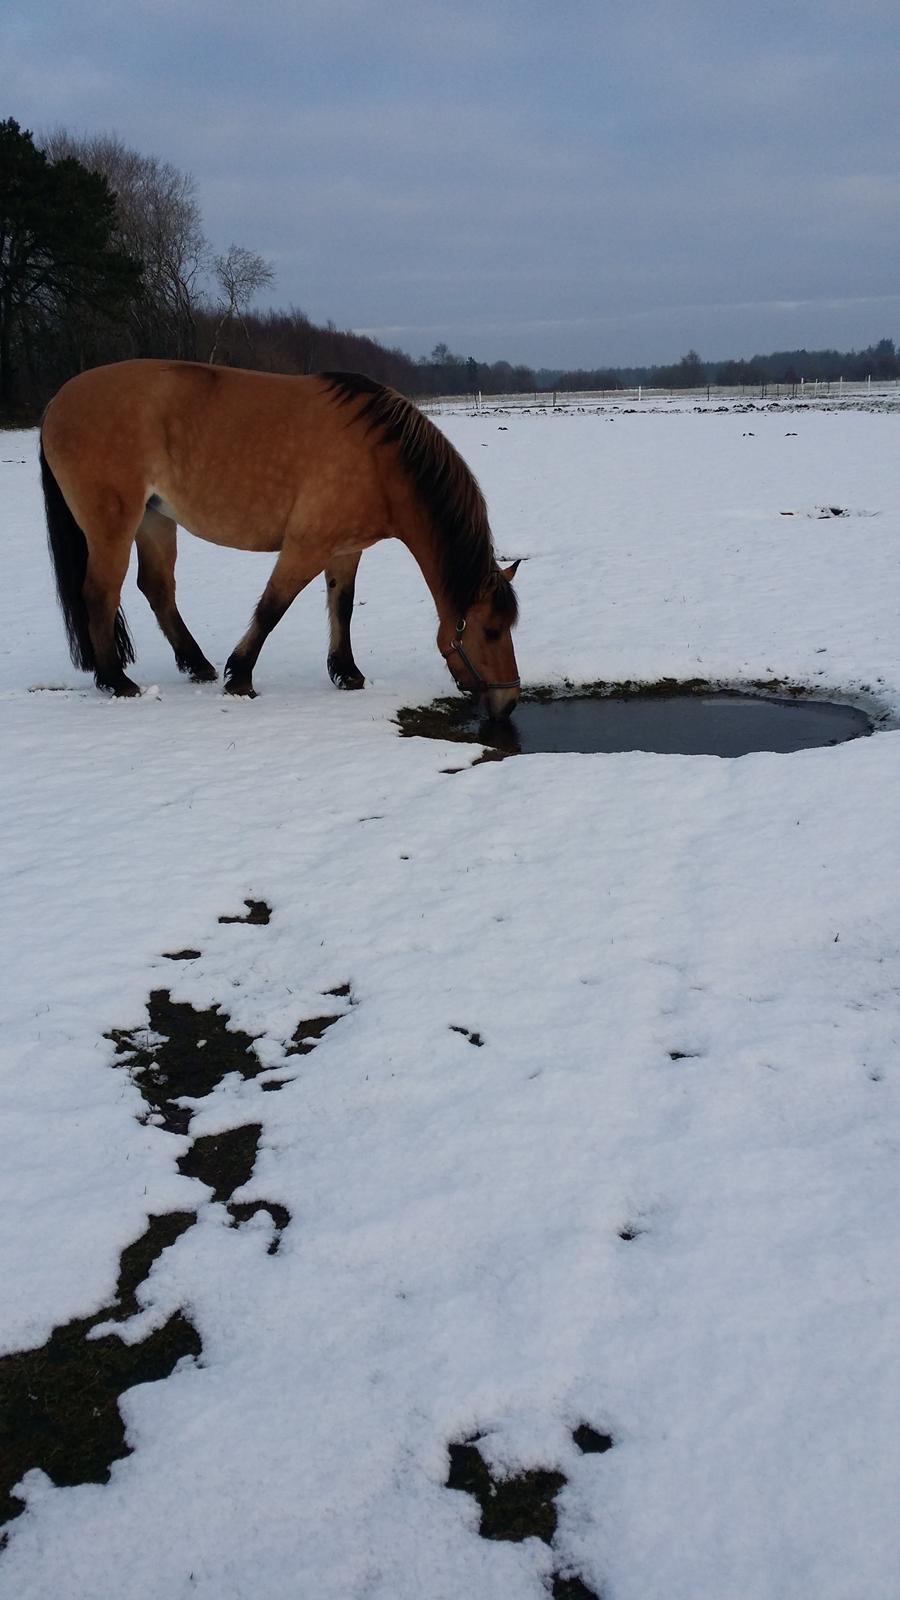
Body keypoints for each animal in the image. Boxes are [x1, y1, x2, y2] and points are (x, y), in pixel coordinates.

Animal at [40, 363, 518, 720]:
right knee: (100, 594)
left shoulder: (345, 549)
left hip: (155, 521)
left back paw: (196, 665)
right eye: (491, 631)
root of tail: (56, 402)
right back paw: (117, 681)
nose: (509, 701)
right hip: (113, 526)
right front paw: (240, 678)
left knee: (156, 588)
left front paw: (347, 674)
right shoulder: (306, 546)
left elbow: (342, 607)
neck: (379, 461)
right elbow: (273, 607)